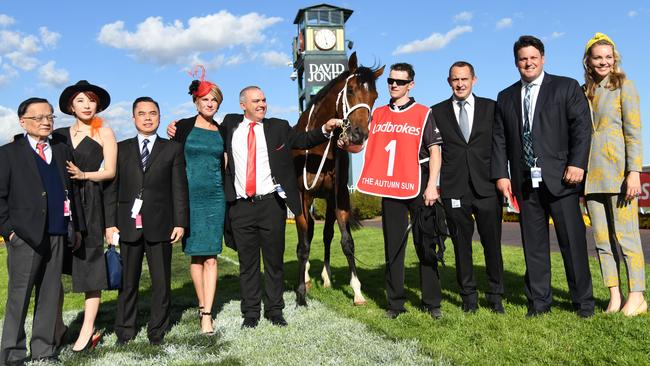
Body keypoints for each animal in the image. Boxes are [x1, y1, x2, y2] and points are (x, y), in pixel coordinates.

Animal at [292, 52, 382, 306]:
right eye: (350, 90)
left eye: (375, 96)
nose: (359, 134)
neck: (318, 148)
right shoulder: (303, 194)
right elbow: (304, 244)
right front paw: (301, 292)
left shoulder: (339, 194)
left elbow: (346, 241)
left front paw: (357, 291)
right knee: (309, 233)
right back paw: (306, 277)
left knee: (325, 234)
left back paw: (325, 276)